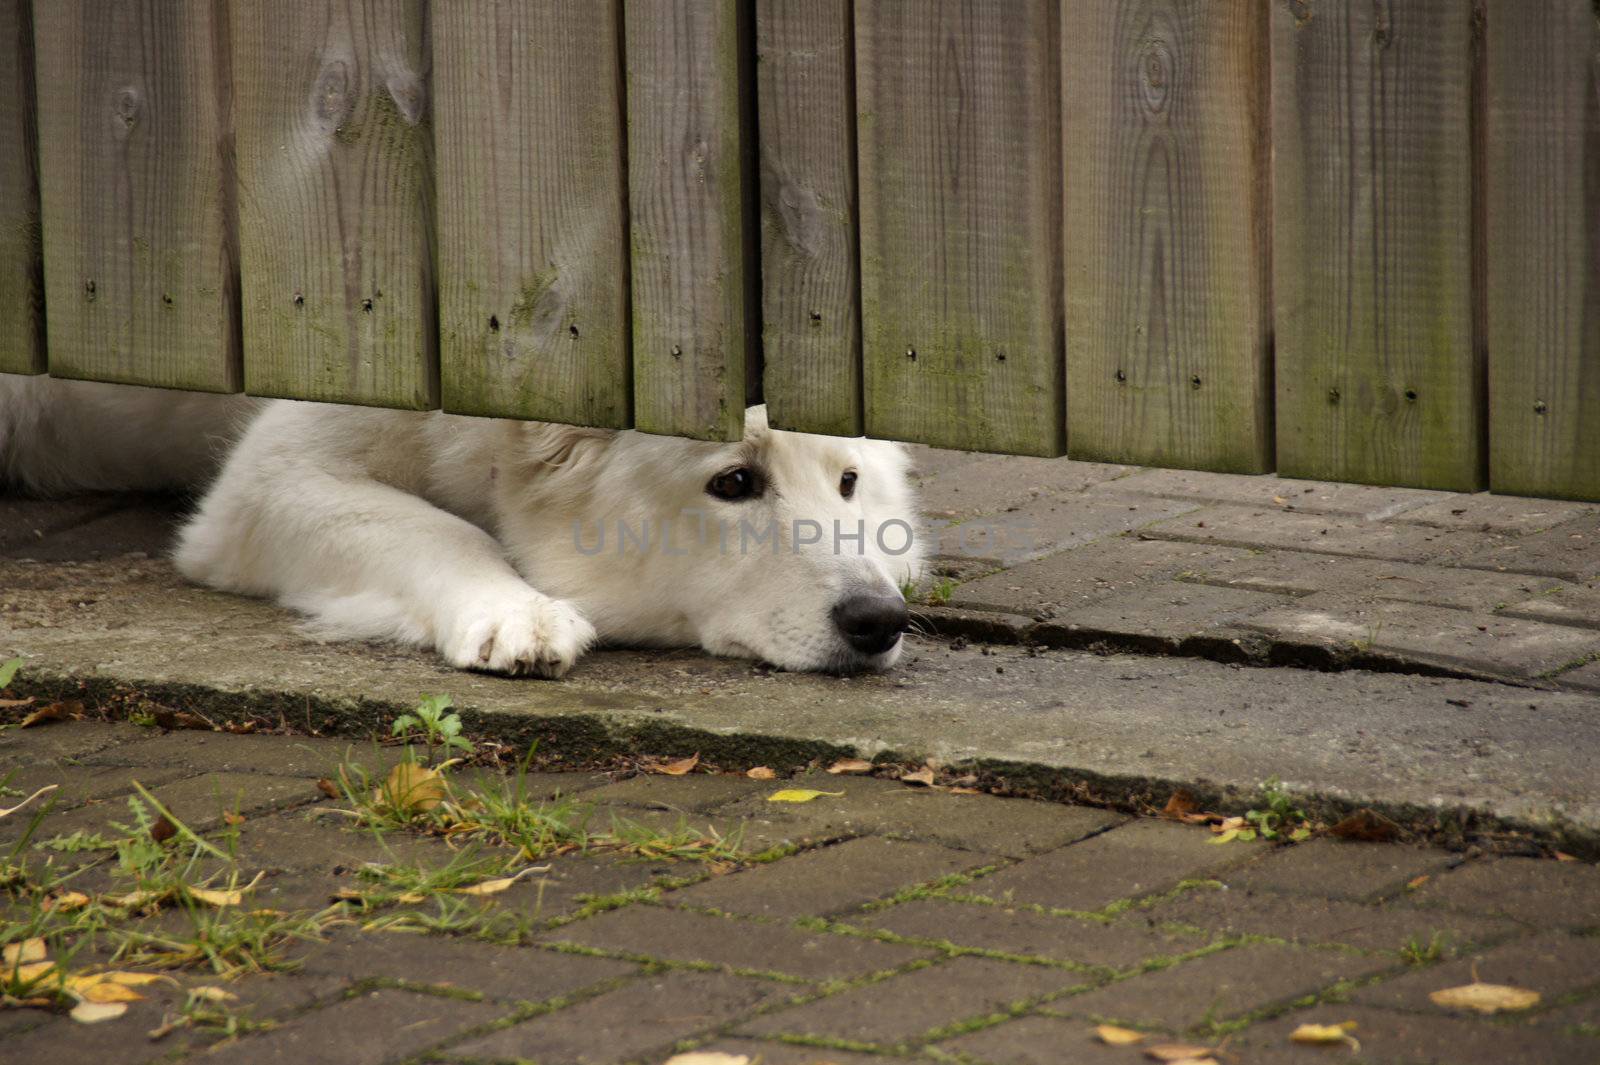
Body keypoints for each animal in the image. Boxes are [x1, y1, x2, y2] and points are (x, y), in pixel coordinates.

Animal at [0, 372, 921, 671]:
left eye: (845, 481)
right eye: (734, 483)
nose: (881, 621)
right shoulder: (269, 478)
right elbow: (442, 528)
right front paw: (514, 610)